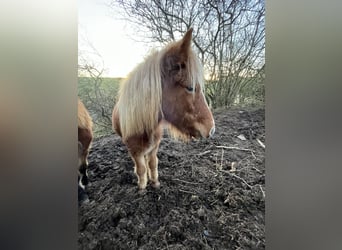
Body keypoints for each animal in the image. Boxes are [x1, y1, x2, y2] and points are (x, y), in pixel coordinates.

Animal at [111, 28, 214, 189]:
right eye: (190, 87)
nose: (212, 129)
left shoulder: (155, 146)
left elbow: (153, 163)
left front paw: (155, 183)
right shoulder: (134, 151)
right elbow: (141, 169)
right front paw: (142, 188)